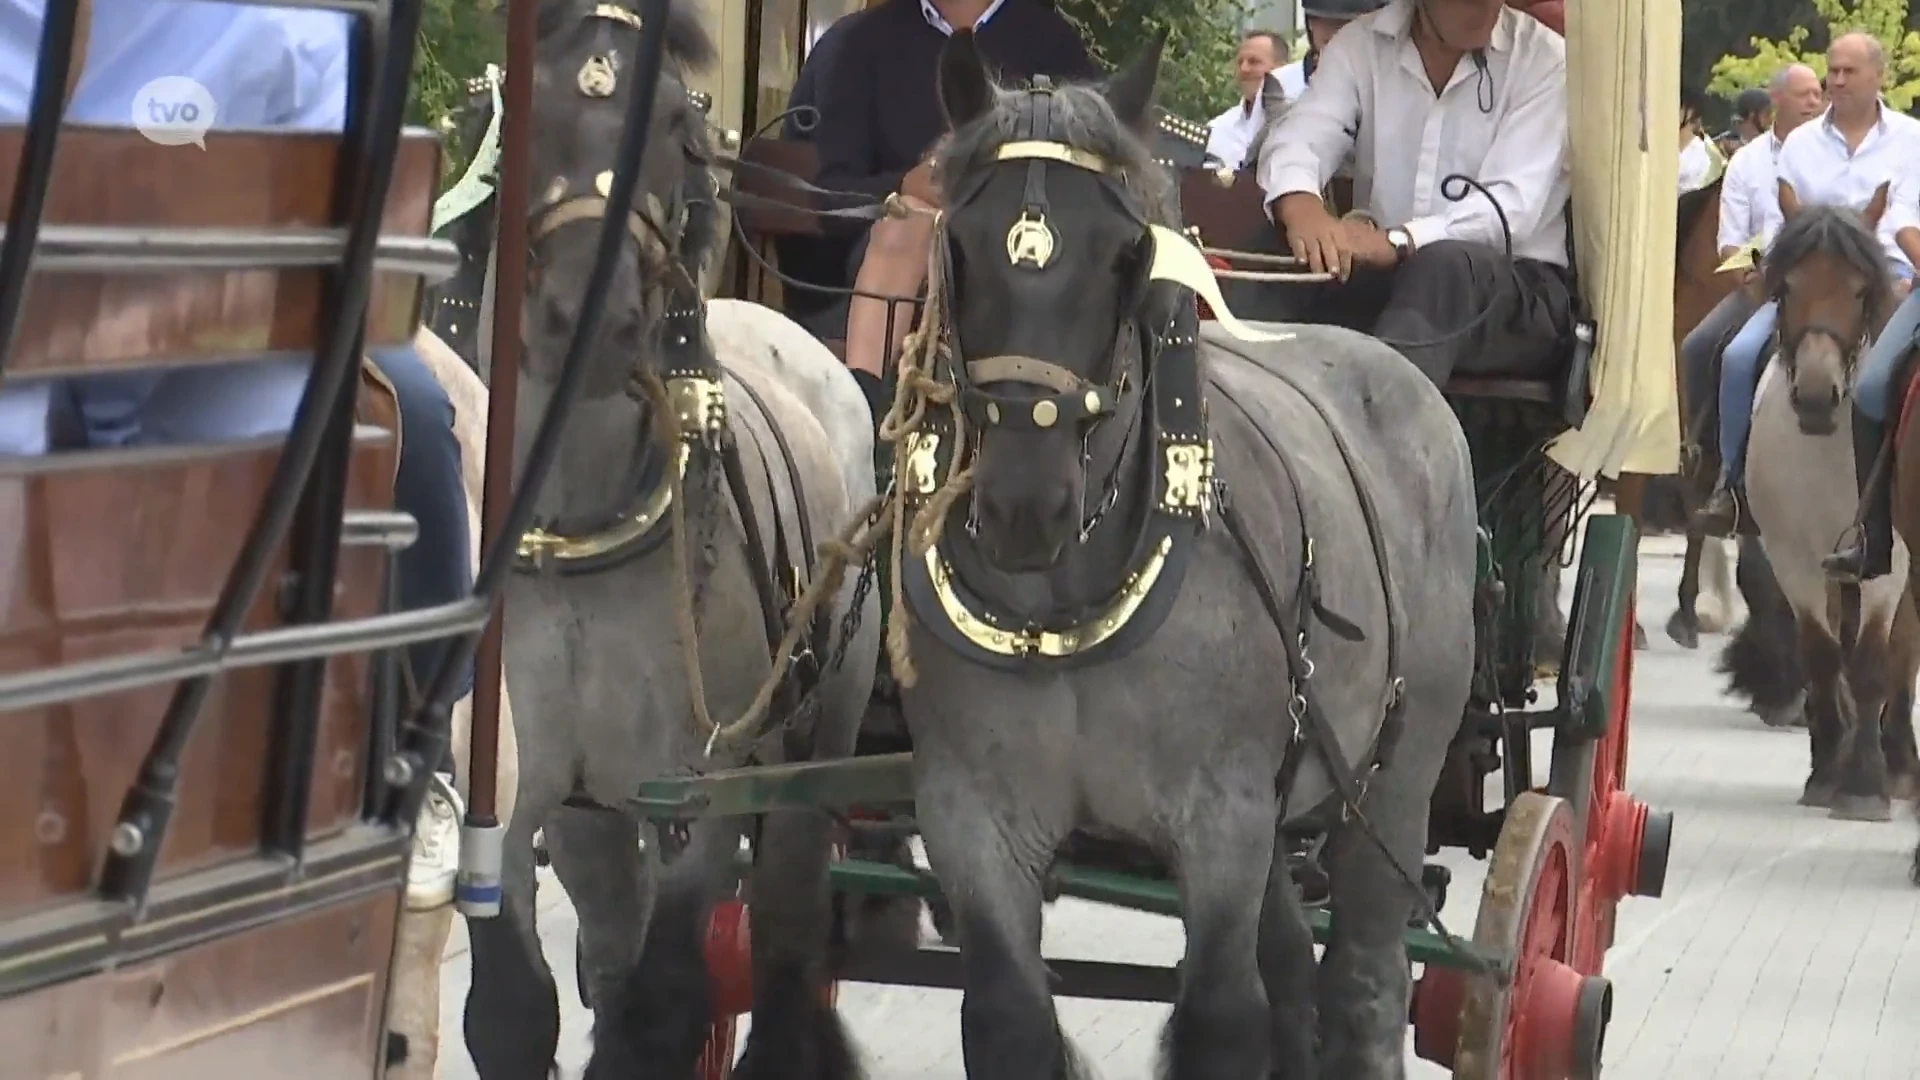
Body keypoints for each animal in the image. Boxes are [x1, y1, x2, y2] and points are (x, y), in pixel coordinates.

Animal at [460, 4, 879, 1068]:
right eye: (525, 118)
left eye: (681, 141)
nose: (585, 316)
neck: (578, 532)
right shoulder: (516, 803)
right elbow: (515, 1012)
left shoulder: (697, 795)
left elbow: (665, 1004)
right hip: (596, 815)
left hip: (814, 746)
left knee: (784, 932)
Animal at [890, 33, 1474, 1076]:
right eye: (959, 244)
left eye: (1124, 253)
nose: (1026, 505)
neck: (1063, 606)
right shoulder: (971, 819)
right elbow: (1007, 1018)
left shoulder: (1219, 820)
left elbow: (1221, 1016)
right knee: (1294, 967)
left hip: (1392, 783)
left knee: (1363, 978)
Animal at [1751, 191, 1912, 814]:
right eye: (1784, 289)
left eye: (1862, 291)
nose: (1818, 398)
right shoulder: (1792, 559)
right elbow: (1821, 657)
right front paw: (1825, 772)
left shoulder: (1888, 565)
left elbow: (1872, 662)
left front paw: (1865, 785)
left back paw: (1898, 763)